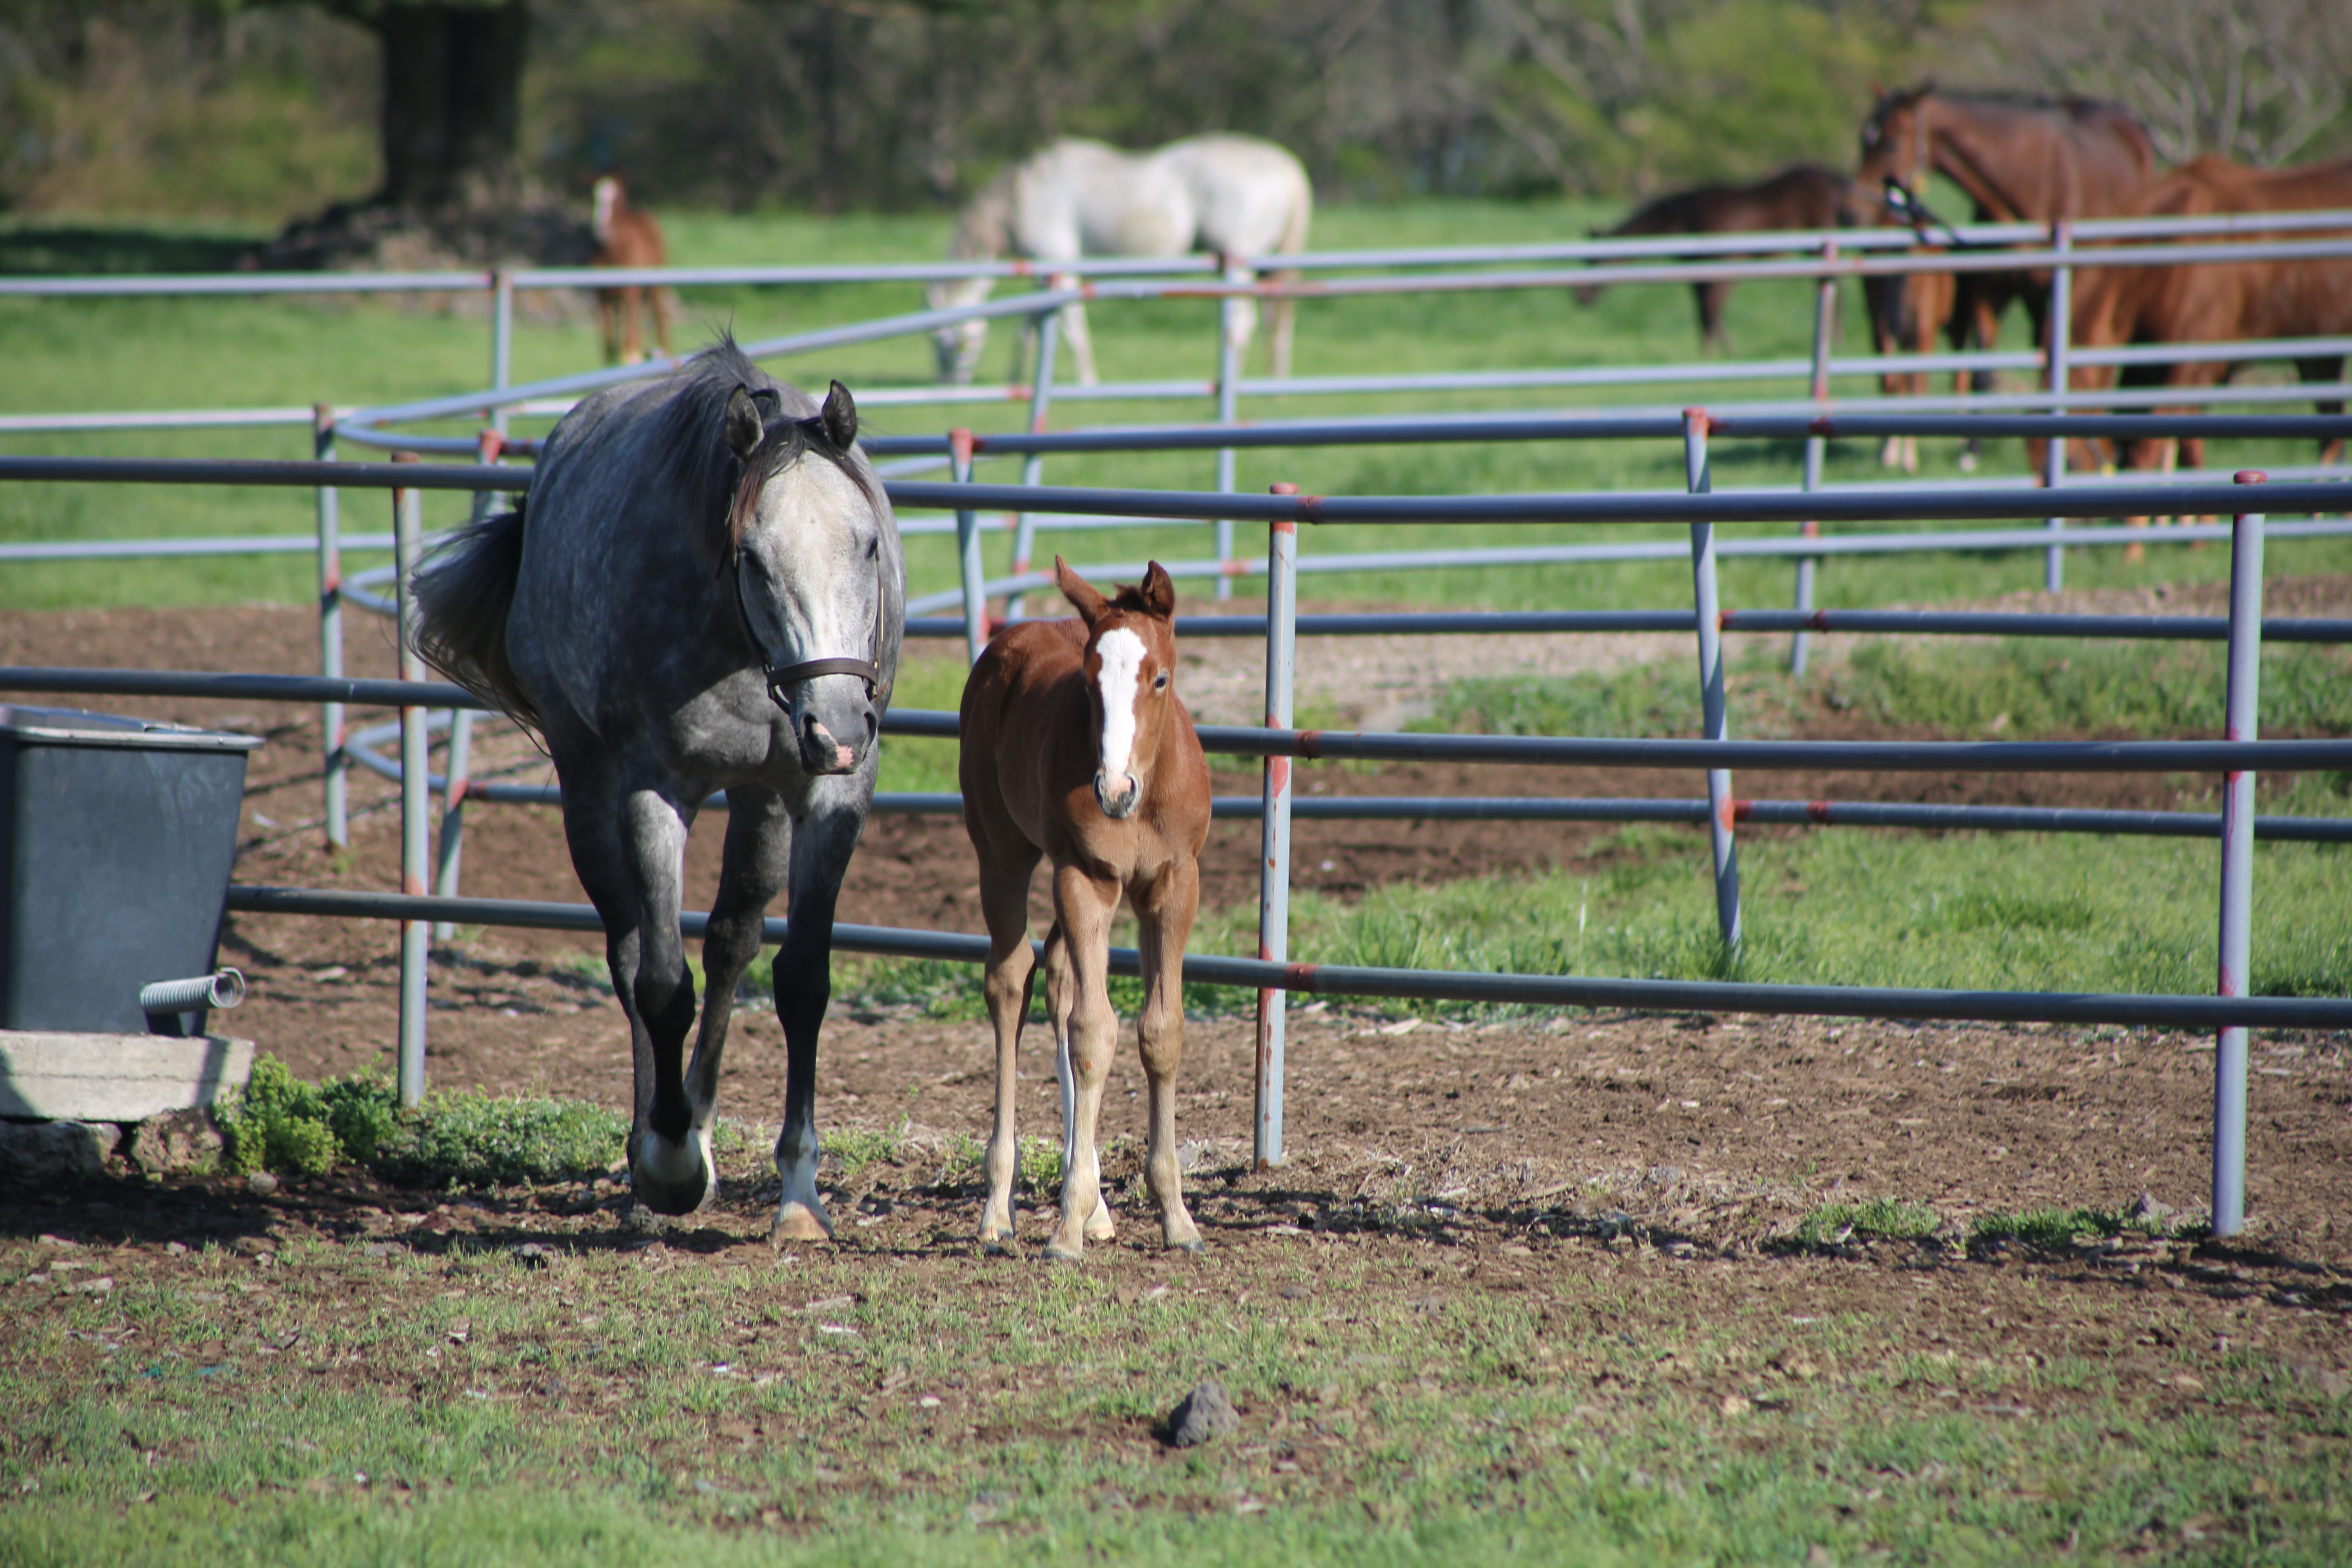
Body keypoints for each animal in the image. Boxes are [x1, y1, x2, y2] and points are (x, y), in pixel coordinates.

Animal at [409, 341, 903, 1241]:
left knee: (733, 939)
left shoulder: (829, 800)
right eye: (754, 557)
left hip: (762, 800)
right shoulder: (651, 793)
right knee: (633, 948)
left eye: (868, 548)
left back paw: (700, 1117)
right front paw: (668, 1163)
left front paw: (799, 1189)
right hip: (588, 788)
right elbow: (664, 985)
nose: (842, 724)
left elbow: (801, 982)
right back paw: (657, 1140)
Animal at [592, 173, 677, 369]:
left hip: (653, 290)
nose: (602, 230)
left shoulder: (629, 293)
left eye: (618, 201)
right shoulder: (602, 297)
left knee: (658, 324)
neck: (613, 253)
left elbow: (630, 337)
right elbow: (608, 343)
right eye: (594, 197)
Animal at [927, 135, 1317, 385]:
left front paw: (1088, 380)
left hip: (1239, 263)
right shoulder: (1045, 272)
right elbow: (1032, 325)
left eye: (945, 343)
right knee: (1275, 319)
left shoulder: (1058, 263)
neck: (1022, 196)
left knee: (1243, 323)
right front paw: (1016, 379)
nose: (948, 382)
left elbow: (1071, 327)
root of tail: (1282, 163)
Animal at [960, 557, 1214, 1260]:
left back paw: (1099, 1205)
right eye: (1089, 683)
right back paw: (999, 1209)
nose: (1114, 790)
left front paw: (1176, 1217)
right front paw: (1067, 1226)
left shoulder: (1174, 885)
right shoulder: (1085, 878)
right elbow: (1095, 1032)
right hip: (1003, 852)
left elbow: (1161, 1031)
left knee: (1059, 974)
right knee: (1011, 979)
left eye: (1161, 678)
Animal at [1571, 167, 1862, 355]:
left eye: (1594, 262)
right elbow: (1703, 313)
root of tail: (1836, 183)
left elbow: (1711, 311)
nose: (1580, 298)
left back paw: (1835, 340)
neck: (1687, 218)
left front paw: (1726, 351)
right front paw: (1708, 351)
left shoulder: (1724, 269)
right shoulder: (1697, 274)